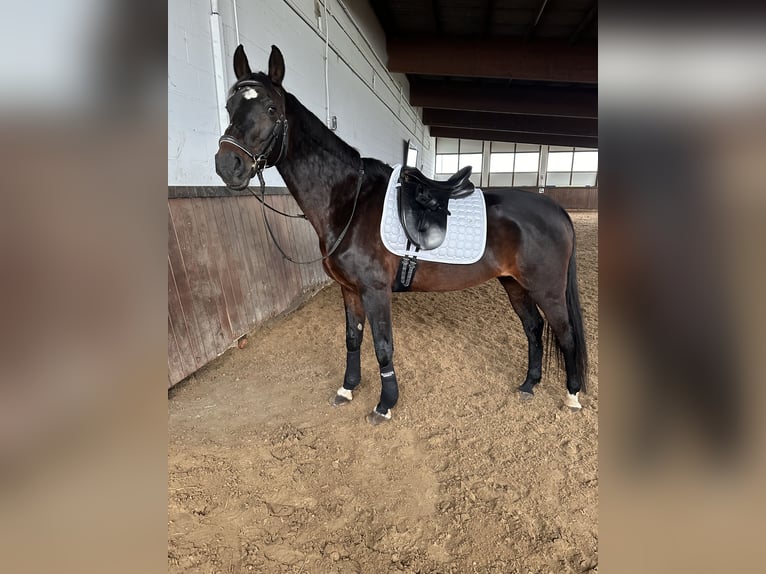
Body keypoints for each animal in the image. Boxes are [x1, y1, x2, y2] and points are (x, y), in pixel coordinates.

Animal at [213, 45, 592, 426]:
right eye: (230, 107)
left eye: (271, 109)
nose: (228, 165)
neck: (351, 201)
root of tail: (557, 210)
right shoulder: (349, 290)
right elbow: (352, 339)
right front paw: (347, 388)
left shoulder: (375, 290)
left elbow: (383, 347)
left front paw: (385, 404)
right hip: (514, 284)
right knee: (534, 328)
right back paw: (529, 384)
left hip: (546, 289)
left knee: (565, 334)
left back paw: (572, 396)